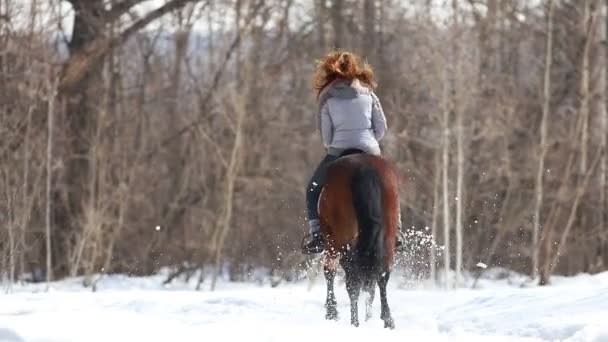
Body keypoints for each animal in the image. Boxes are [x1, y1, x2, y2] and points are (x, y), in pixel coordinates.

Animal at [318, 152, 400, 328]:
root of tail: (364, 167)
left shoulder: (331, 242)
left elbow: (329, 271)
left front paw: (331, 312)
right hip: (387, 238)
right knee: (382, 275)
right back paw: (387, 320)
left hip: (343, 242)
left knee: (353, 283)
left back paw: (354, 322)